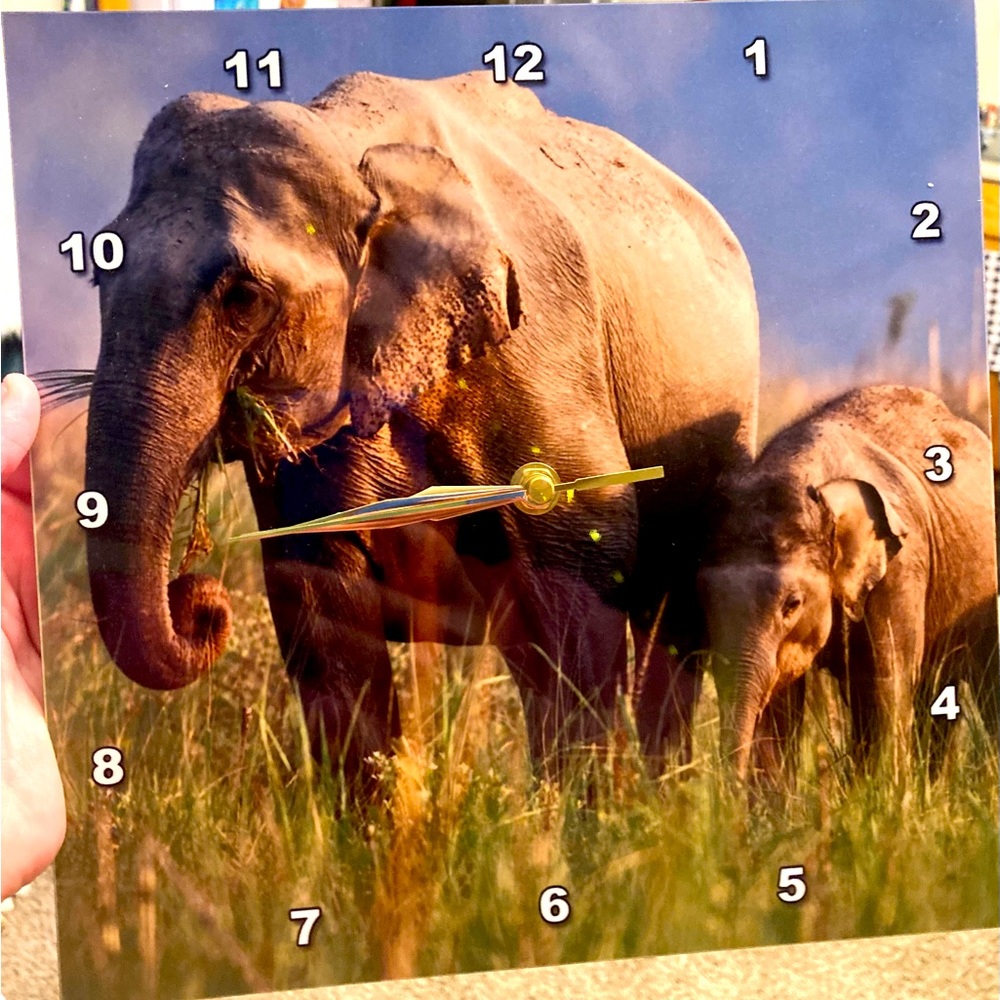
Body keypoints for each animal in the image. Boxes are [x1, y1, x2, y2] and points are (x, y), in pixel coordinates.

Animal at [83, 70, 759, 783]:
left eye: (243, 296)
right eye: (100, 272)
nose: (201, 601)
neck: (352, 145)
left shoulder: (541, 348)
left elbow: (582, 549)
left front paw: (587, 809)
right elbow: (321, 598)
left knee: (667, 615)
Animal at [698, 384, 999, 789]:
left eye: (792, 604)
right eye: (704, 599)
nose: (726, 793)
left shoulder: (902, 567)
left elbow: (885, 685)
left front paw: (883, 796)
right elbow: (778, 704)